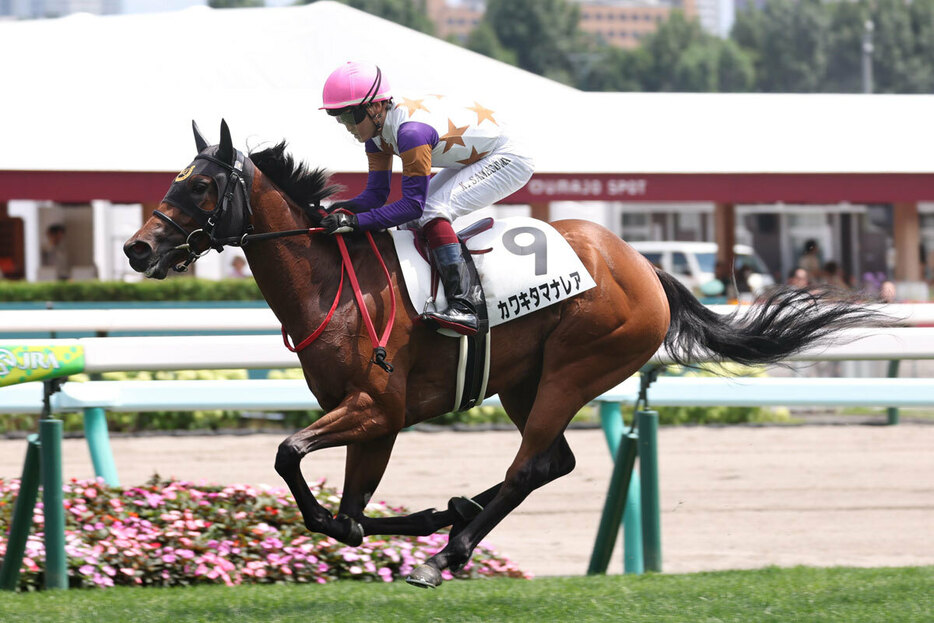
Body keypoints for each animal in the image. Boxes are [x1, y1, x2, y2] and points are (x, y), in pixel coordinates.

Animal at [126, 122, 884, 588]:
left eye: (199, 185)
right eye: (173, 179)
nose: (137, 247)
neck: (332, 282)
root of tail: (641, 264)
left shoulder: (379, 408)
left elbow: (297, 465)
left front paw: (434, 527)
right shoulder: (366, 415)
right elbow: (343, 516)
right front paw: (432, 513)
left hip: (577, 367)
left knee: (528, 467)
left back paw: (448, 554)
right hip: (525, 380)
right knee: (552, 461)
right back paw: (458, 517)